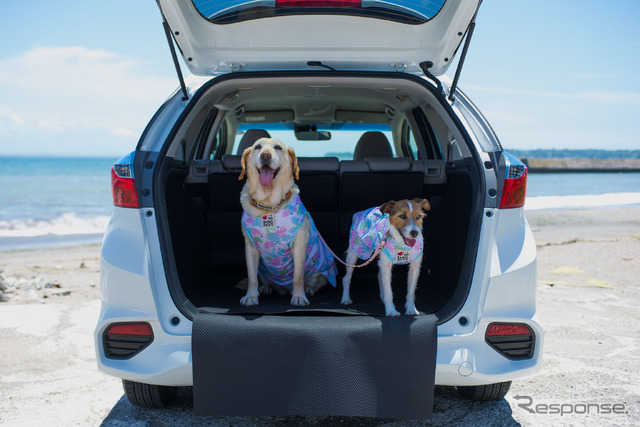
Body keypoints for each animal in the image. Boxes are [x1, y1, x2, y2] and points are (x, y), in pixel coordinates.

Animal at [238, 138, 338, 308]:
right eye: (257, 147)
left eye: (278, 147)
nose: (265, 155)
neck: (269, 206)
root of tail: (283, 289)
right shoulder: (250, 248)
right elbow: (251, 278)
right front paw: (251, 296)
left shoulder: (298, 247)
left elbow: (297, 278)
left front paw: (299, 297)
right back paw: (265, 288)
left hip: (319, 270)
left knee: (315, 282)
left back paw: (309, 290)